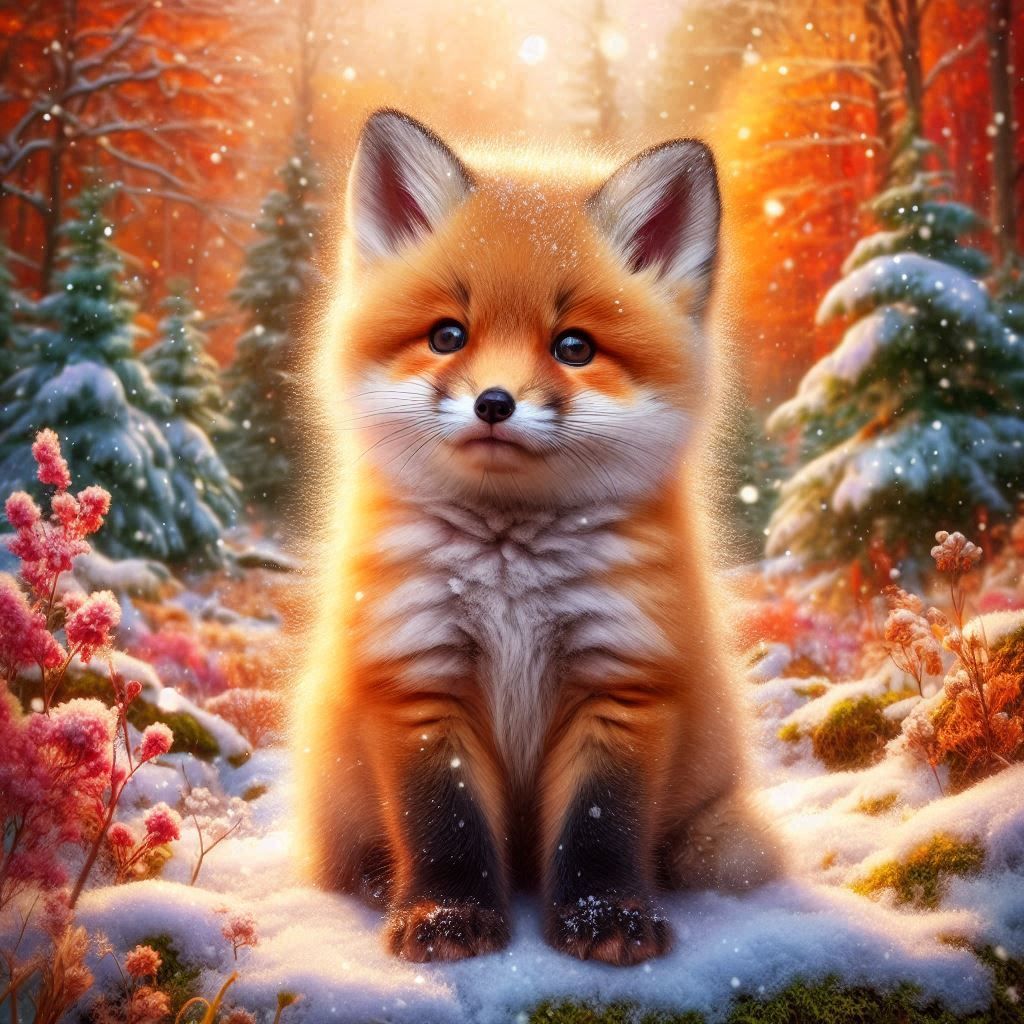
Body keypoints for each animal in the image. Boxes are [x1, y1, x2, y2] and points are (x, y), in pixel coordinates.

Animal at [293, 108, 782, 967]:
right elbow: (443, 825)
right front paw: (446, 914)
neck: (509, 576)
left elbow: (599, 828)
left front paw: (606, 916)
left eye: (574, 348)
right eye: (447, 336)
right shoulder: (419, 678)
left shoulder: (621, 681)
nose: (494, 403)